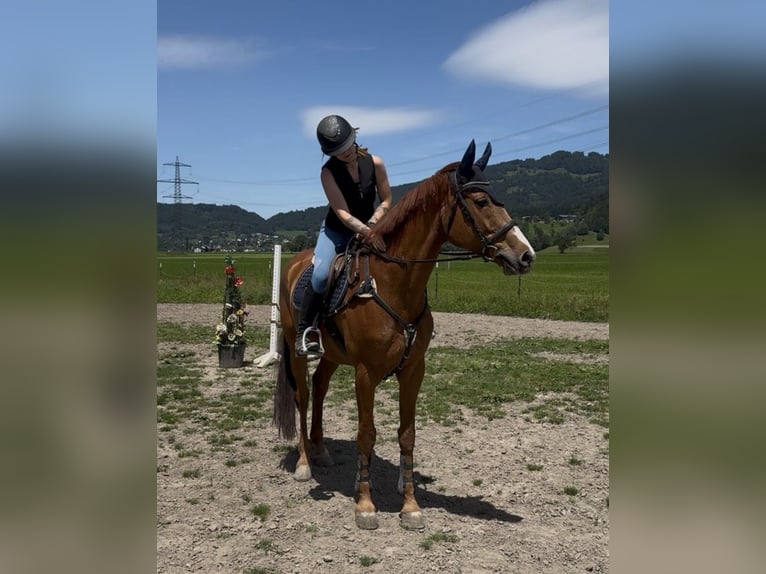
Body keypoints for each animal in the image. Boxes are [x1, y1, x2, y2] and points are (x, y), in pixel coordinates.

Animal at [272, 139, 535, 531]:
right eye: (481, 202)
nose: (526, 256)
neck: (394, 283)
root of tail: (293, 263)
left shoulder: (414, 370)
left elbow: (407, 435)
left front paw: (410, 506)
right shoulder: (365, 372)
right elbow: (366, 434)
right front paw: (365, 505)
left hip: (334, 354)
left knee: (319, 387)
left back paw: (320, 450)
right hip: (294, 347)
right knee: (303, 396)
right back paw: (305, 462)